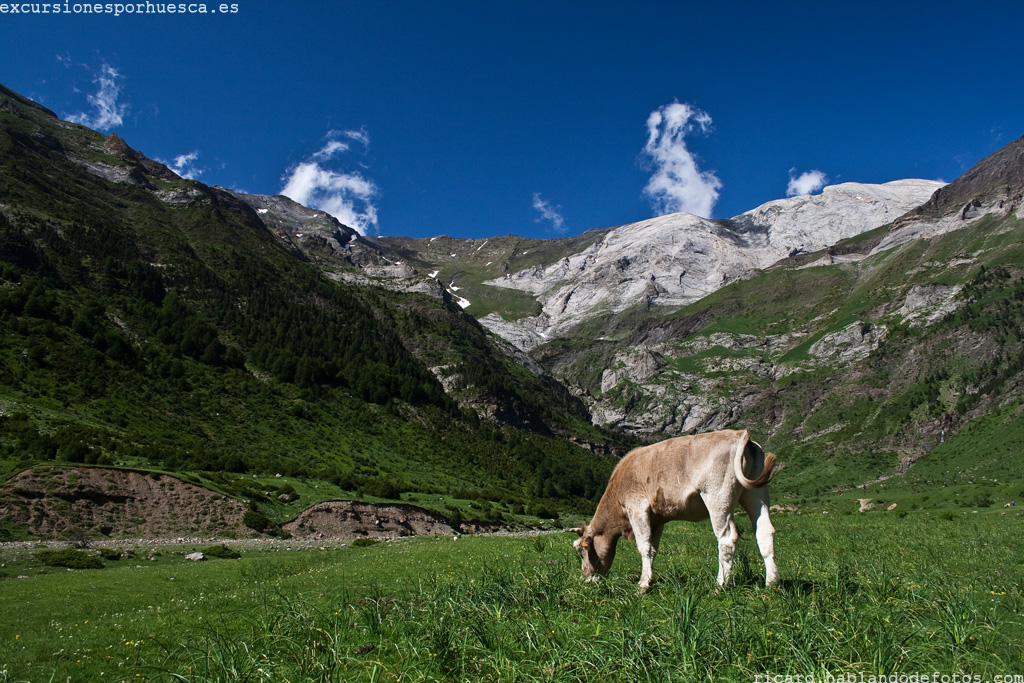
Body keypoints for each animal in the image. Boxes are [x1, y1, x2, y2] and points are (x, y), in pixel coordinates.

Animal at [573, 430, 778, 589]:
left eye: (582, 551)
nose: (584, 579)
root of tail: (738, 433)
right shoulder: (656, 520)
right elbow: (653, 549)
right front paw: (649, 578)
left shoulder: (637, 508)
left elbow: (644, 547)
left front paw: (643, 585)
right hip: (756, 495)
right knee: (764, 532)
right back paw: (771, 583)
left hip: (718, 497)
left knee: (726, 539)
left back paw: (720, 585)